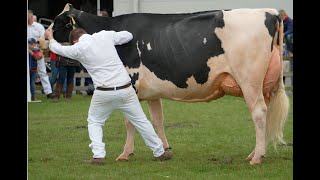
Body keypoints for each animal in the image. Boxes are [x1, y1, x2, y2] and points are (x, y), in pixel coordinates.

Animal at [45, 3, 290, 165]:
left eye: (57, 23)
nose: (42, 39)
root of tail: (269, 11)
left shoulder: (130, 83)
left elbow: (130, 122)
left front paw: (125, 153)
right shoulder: (152, 92)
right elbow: (157, 120)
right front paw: (164, 149)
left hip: (249, 80)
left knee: (258, 113)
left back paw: (256, 158)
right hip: (265, 84)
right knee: (266, 114)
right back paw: (256, 152)